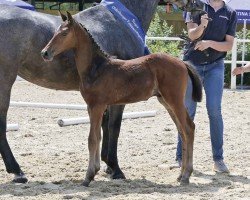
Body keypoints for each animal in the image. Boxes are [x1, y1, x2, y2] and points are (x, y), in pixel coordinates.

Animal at [41, 12, 201, 187]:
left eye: (64, 33)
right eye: (55, 31)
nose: (45, 53)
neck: (97, 68)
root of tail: (182, 63)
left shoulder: (97, 106)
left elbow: (92, 139)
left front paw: (88, 177)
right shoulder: (91, 107)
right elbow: (98, 136)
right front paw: (95, 171)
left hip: (175, 100)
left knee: (189, 128)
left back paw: (186, 175)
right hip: (165, 102)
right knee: (182, 131)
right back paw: (181, 175)